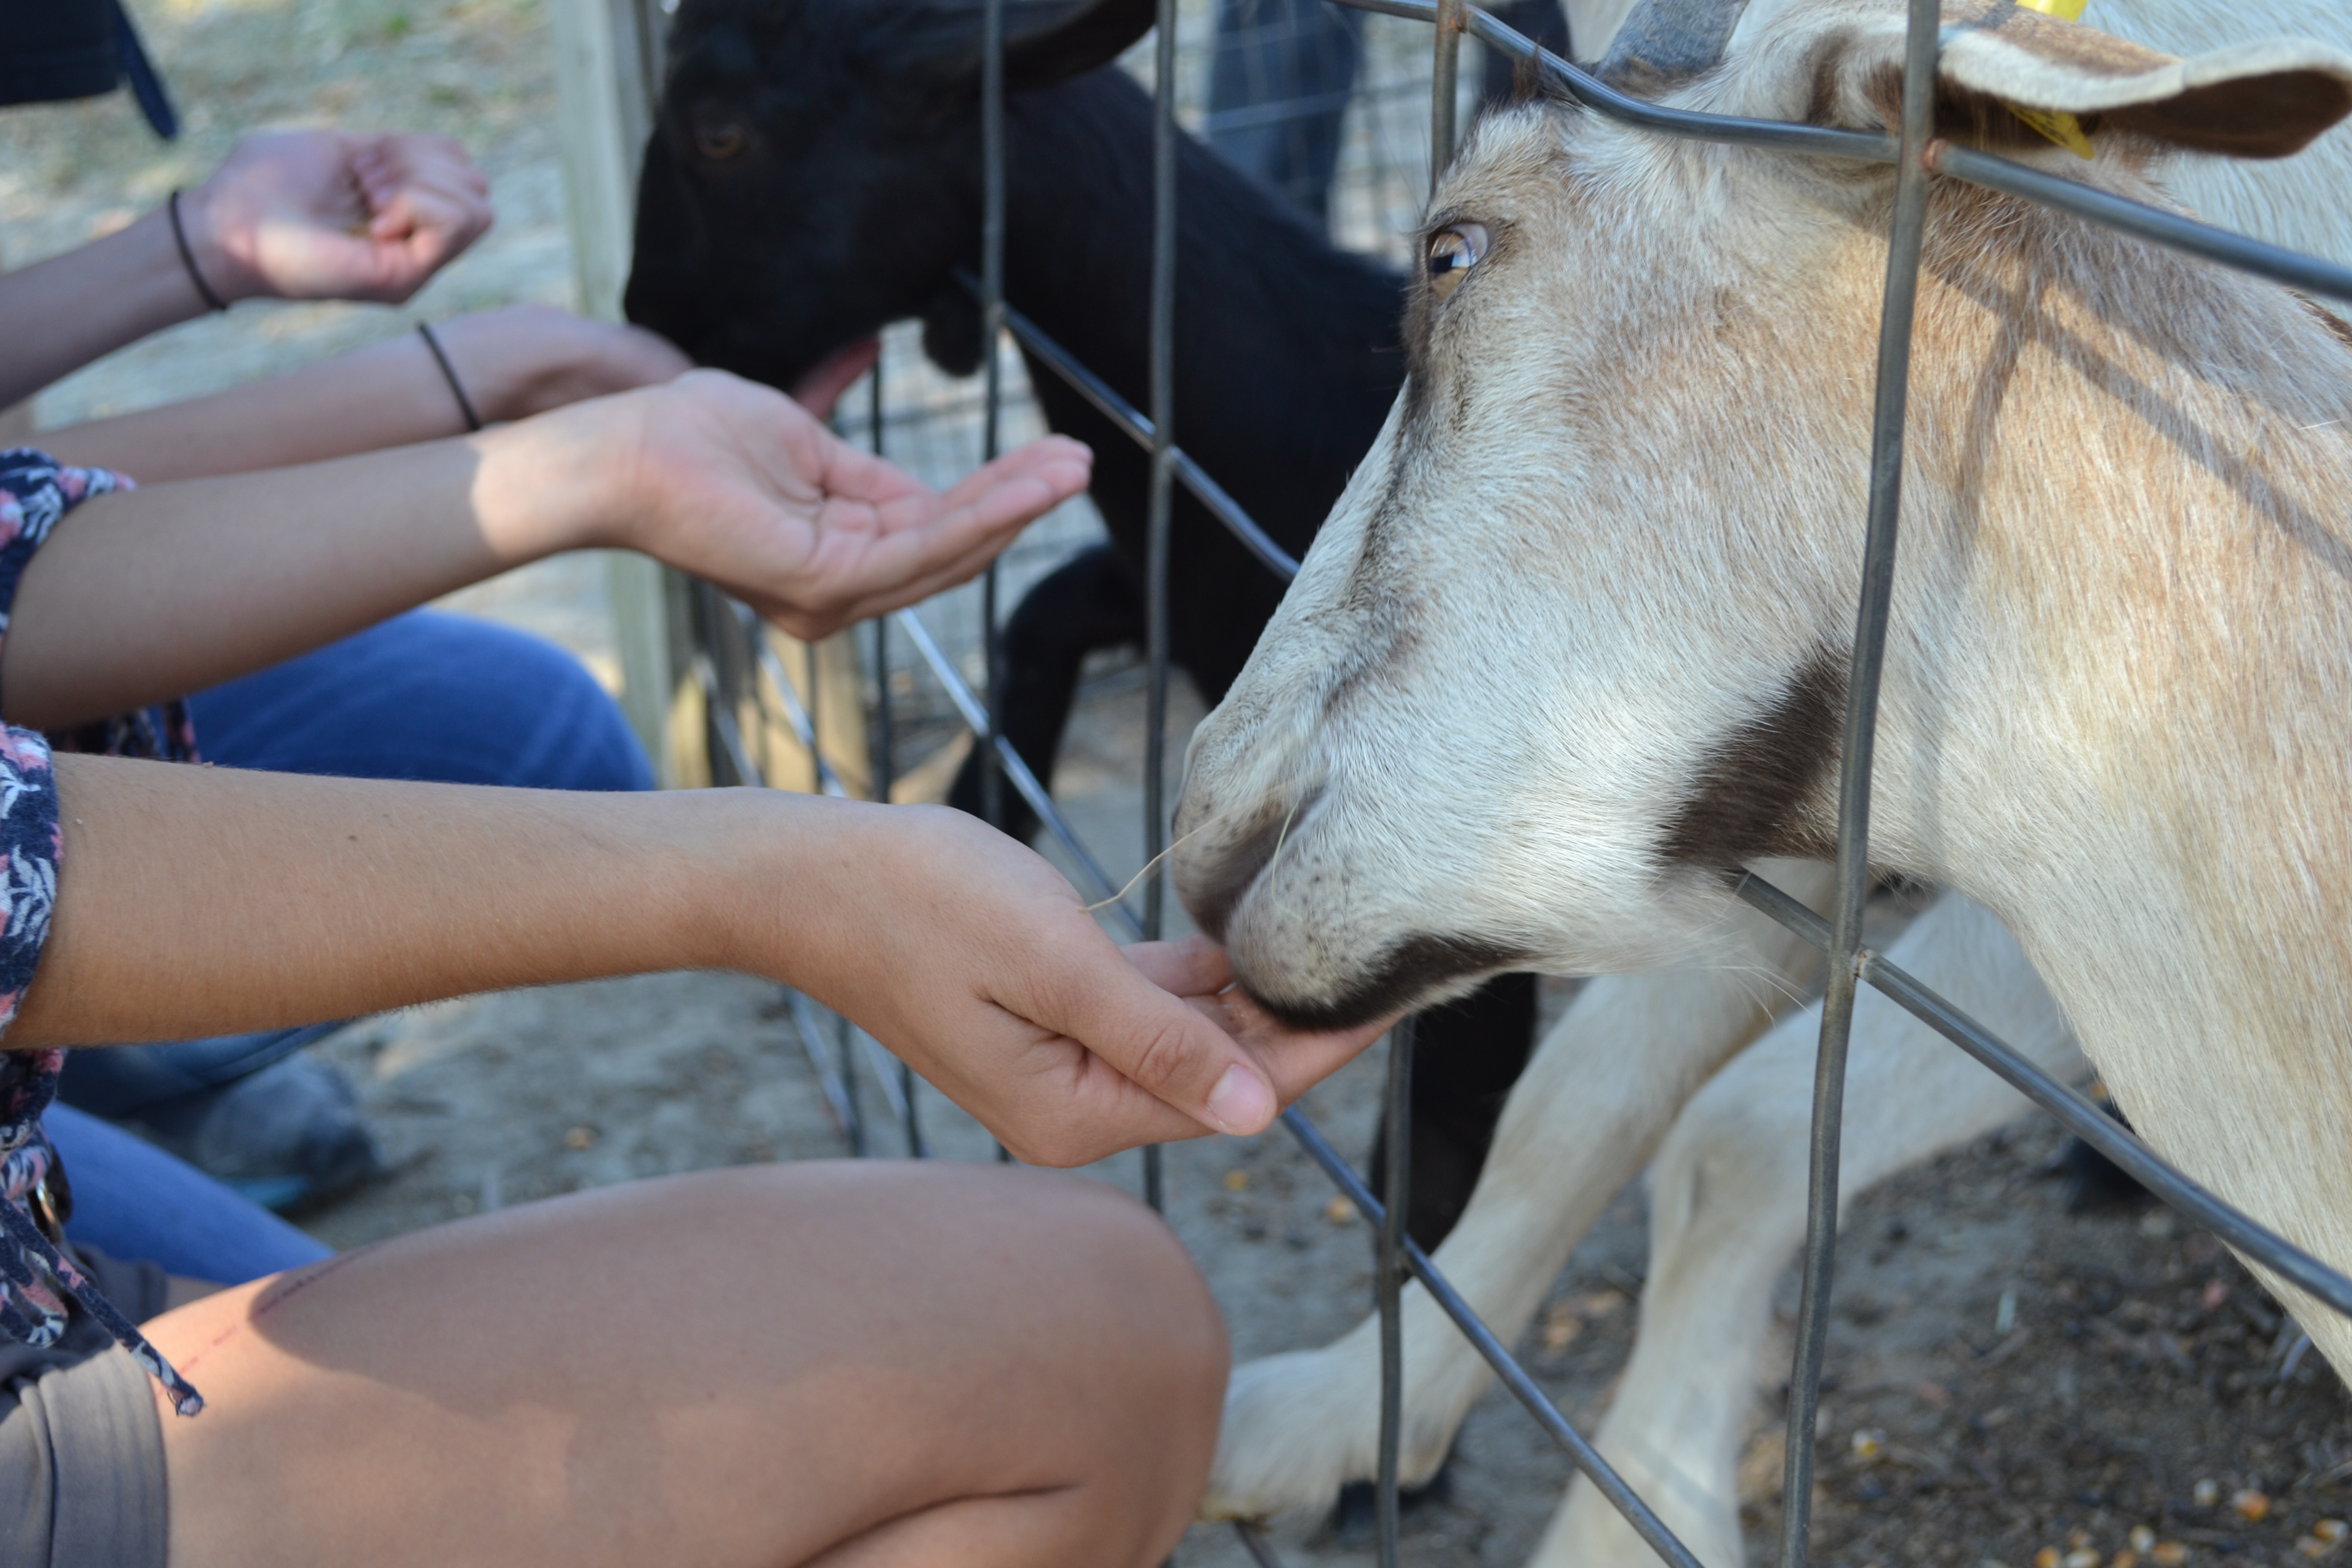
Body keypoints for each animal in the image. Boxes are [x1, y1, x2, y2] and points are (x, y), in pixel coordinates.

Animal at [1174, 1, 2352, 1562]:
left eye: (1449, 250)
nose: (1212, 841)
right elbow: (1590, 1092)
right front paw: (1325, 1419)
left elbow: (1732, 1133)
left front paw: (1625, 1522)